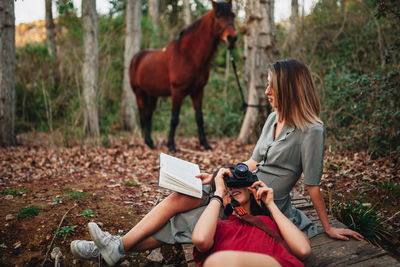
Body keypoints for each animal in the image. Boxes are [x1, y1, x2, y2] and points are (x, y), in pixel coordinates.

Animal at [130, 0, 236, 153]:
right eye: (218, 15)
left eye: (233, 15)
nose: (232, 38)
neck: (189, 56)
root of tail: (137, 57)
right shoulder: (177, 92)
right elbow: (174, 119)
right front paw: (171, 146)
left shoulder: (198, 91)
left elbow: (199, 117)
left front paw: (205, 144)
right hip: (139, 93)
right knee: (143, 116)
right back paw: (147, 143)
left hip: (152, 95)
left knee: (148, 115)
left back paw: (150, 143)